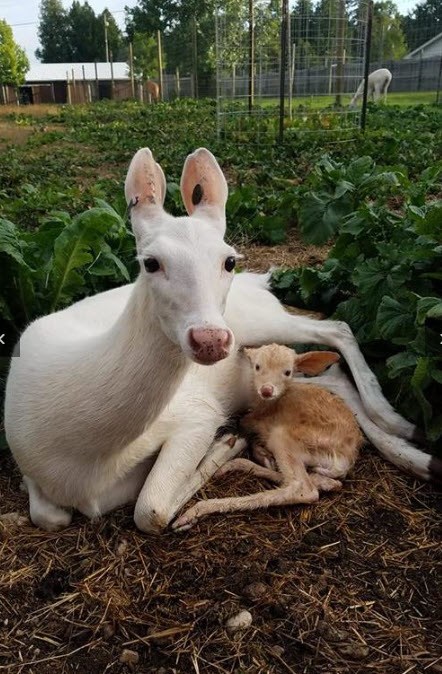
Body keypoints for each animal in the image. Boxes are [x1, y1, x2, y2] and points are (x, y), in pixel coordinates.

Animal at [173, 344, 364, 530]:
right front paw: (263, 455)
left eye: (288, 372)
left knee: (303, 489)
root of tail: (344, 460)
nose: (266, 390)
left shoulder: (252, 421)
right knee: (311, 479)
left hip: (284, 437)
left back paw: (197, 510)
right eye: (257, 366)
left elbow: (245, 427)